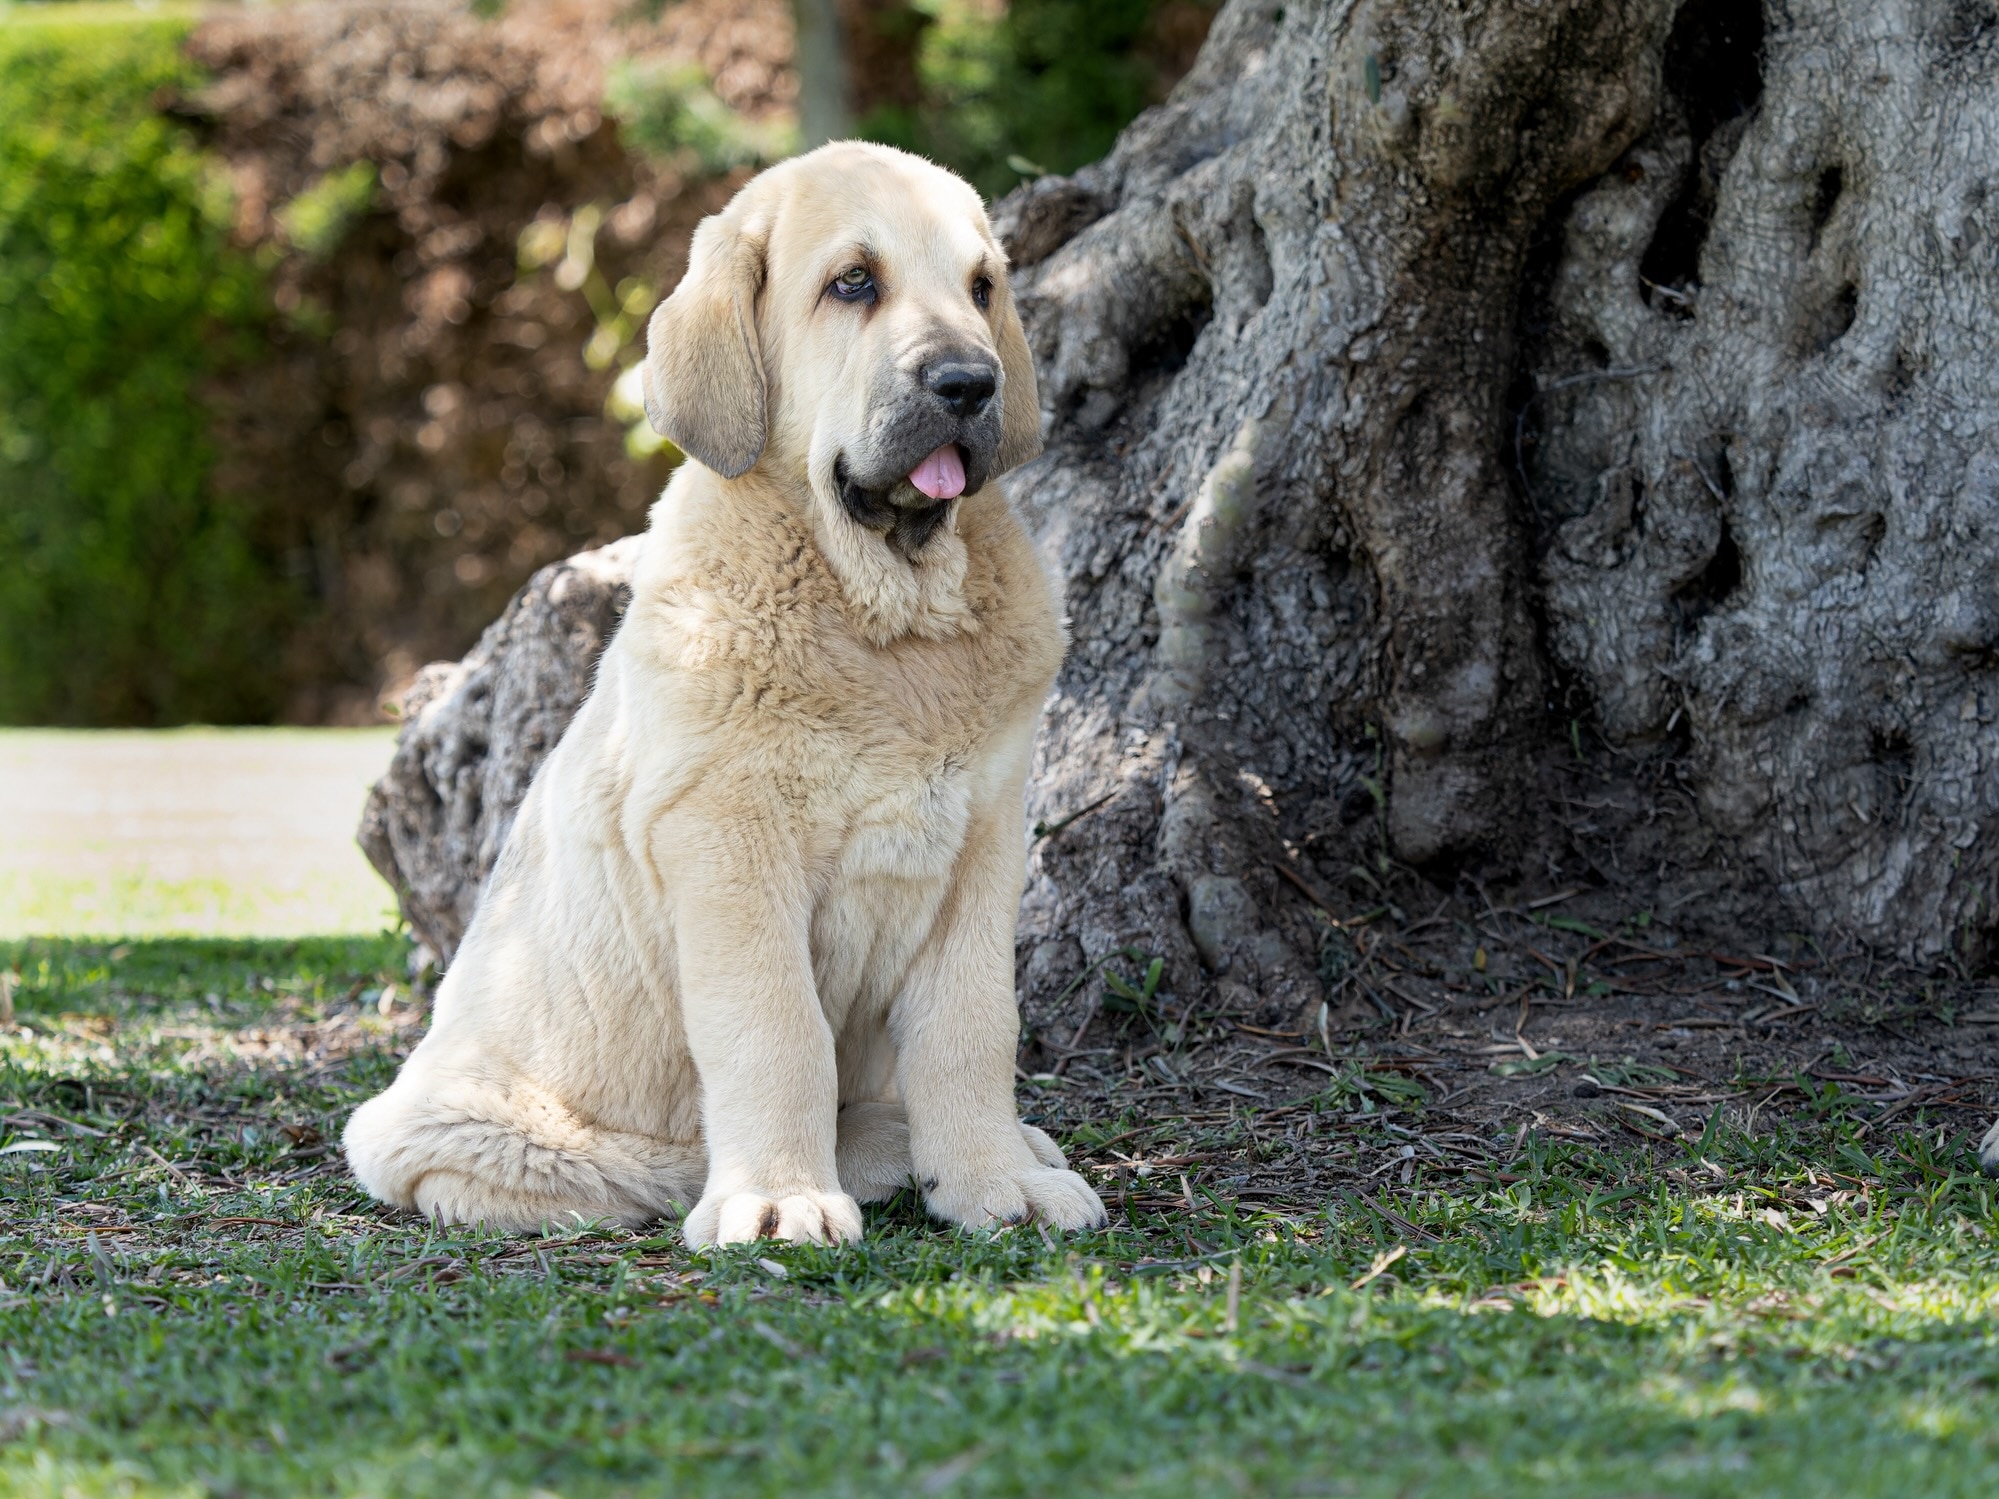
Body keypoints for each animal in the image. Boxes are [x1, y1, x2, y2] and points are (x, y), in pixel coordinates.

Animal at [337, 143, 1111, 1247]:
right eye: (854, 283)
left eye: (980, 288)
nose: (970, 382)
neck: (889, 620)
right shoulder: (729, 841)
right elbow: (775, 1027)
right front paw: (780, 1197)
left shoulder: (985, 835)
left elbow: (972, 1024)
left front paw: (994, 1176)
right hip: (475, 1131)